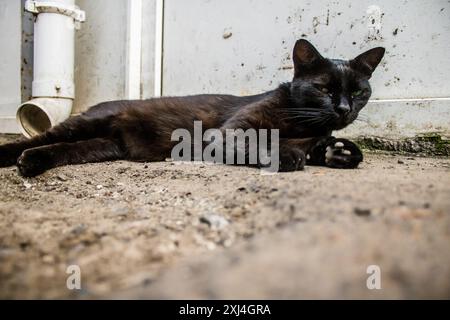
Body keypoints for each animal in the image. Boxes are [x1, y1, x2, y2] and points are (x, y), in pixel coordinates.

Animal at [0, 39, 386, 178]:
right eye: (324, 89)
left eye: (358, 91)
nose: (343, 108)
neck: (304, 123)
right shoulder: (229, 132)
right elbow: (267, 142)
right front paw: (290, 155)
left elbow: (325, 148)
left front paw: (341, 152)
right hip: (87, 124)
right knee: (35, 139)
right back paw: (16, 157)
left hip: (102, 146)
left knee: (63, 149)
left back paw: (33, 162)